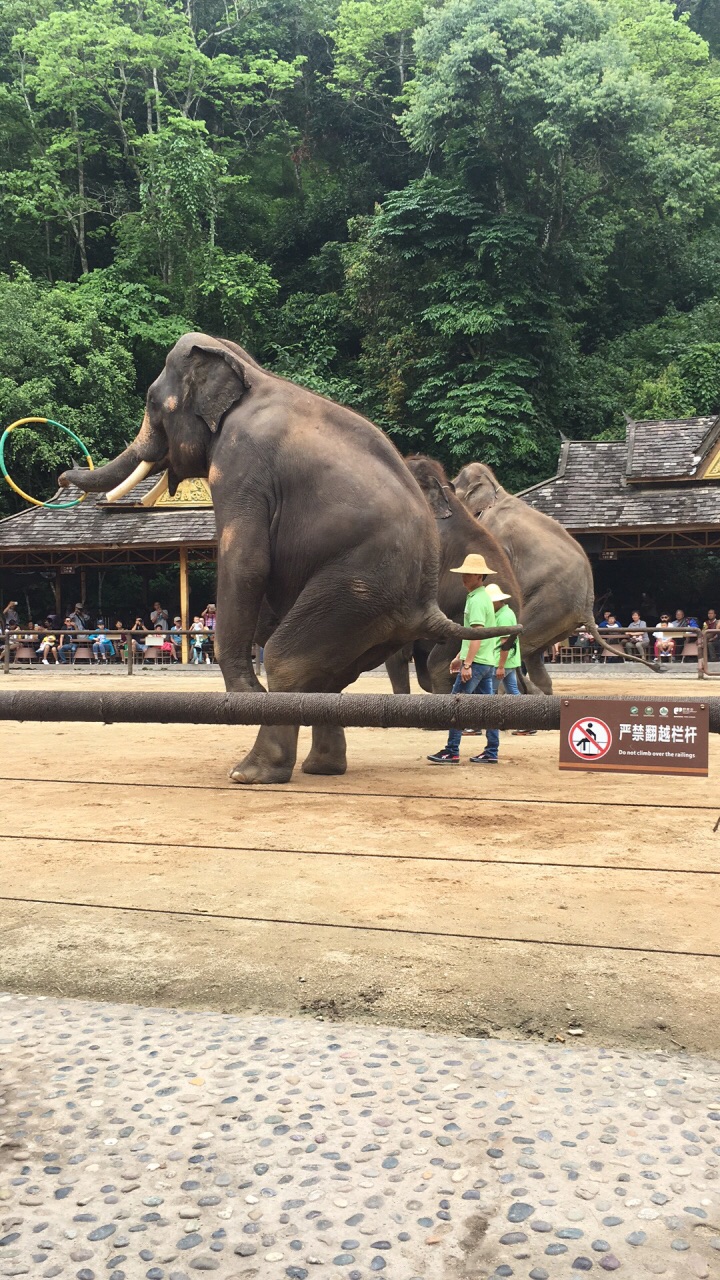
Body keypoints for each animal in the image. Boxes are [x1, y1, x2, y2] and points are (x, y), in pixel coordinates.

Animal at [453, 455, 655, 686]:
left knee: (519, 644)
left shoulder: (495, 532)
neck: (496, 488)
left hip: (550, 605)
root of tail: (588, 609)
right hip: (559, 620)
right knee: (533, 657)